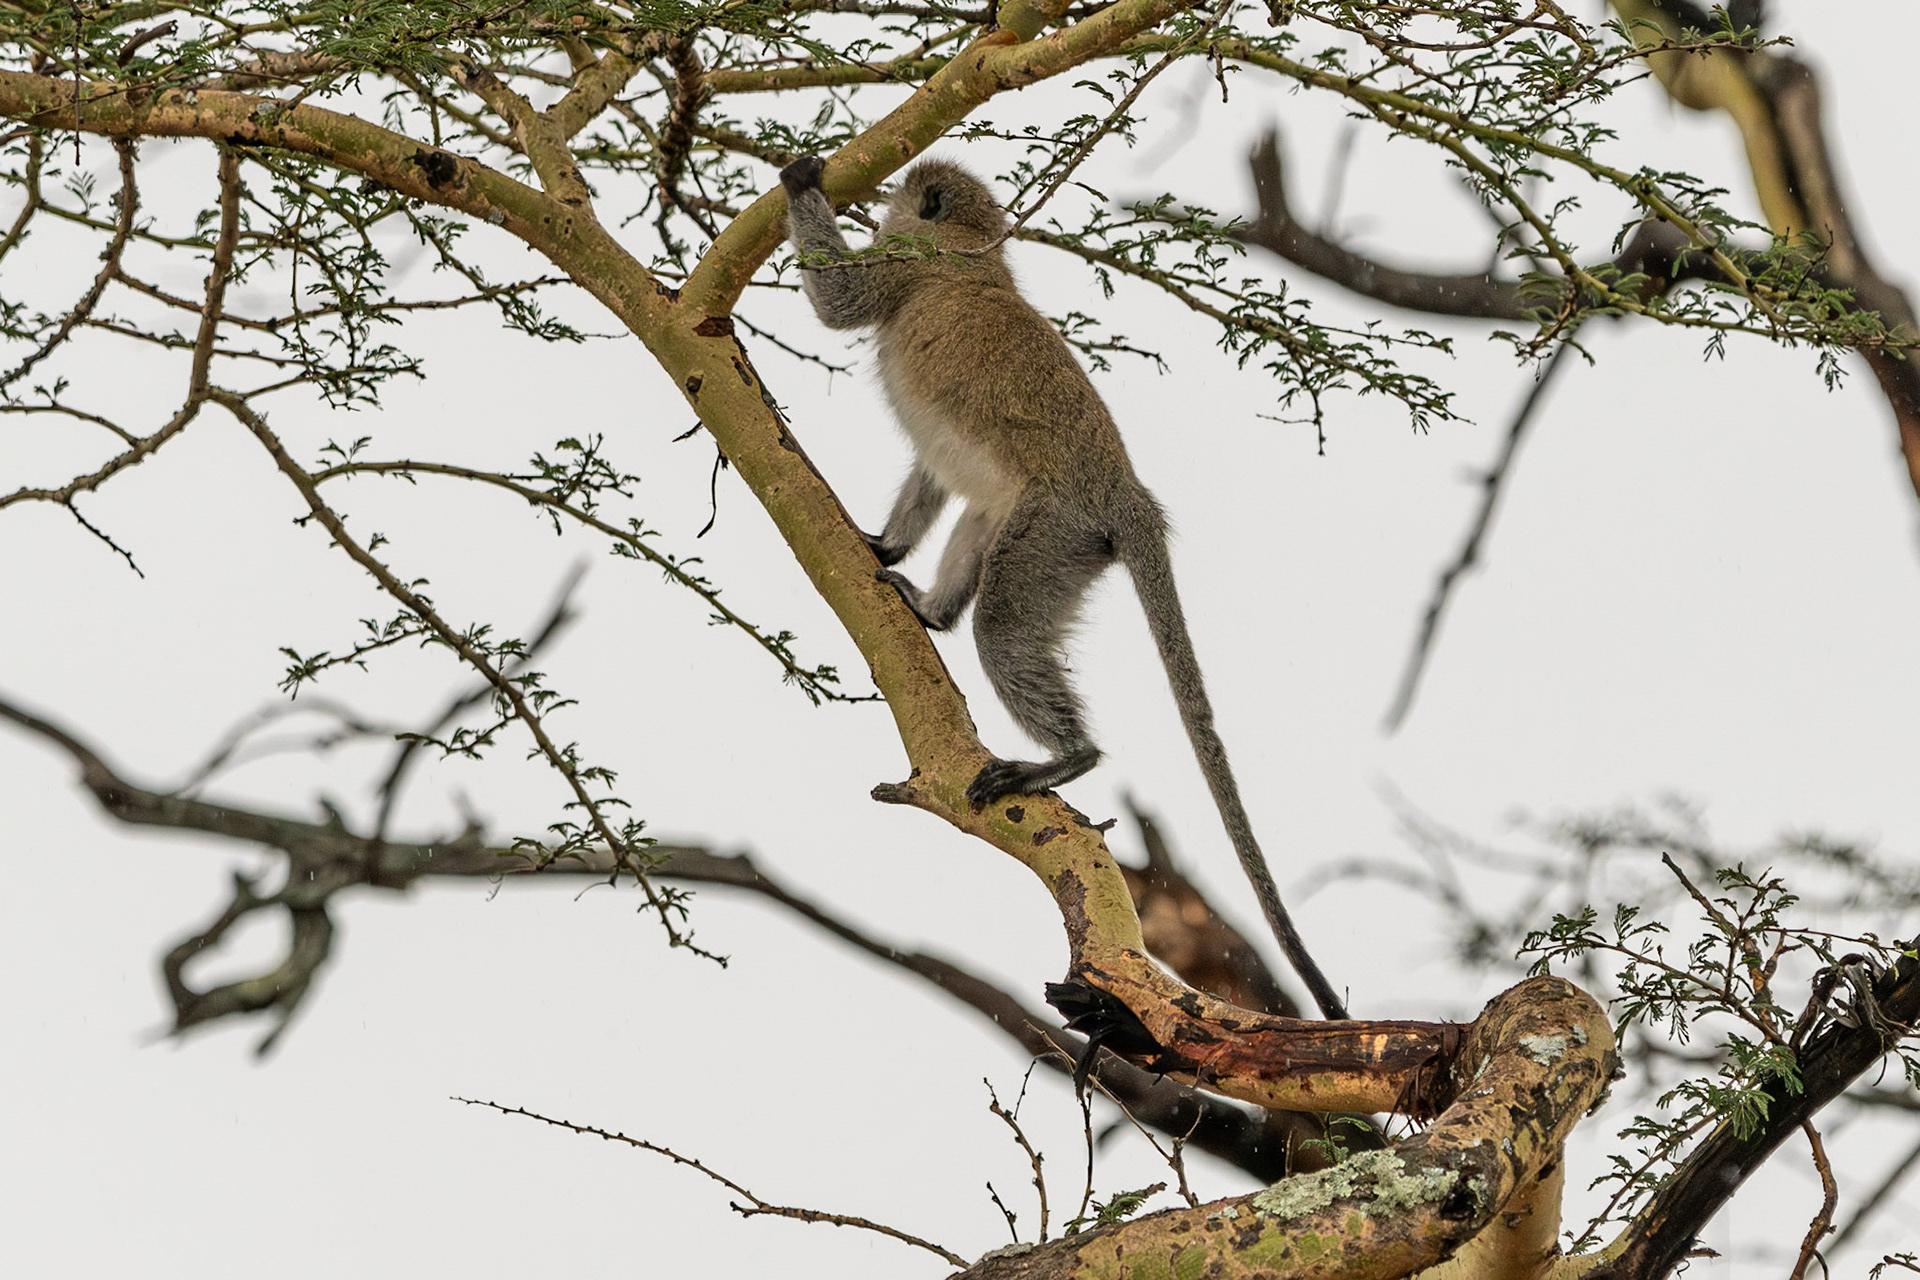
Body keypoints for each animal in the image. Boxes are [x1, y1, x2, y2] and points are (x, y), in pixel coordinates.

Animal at [779, 154, 1348, 1022]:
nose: (874, 198)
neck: (972, 251)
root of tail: (1125, 492)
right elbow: (932, 474)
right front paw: (886, 542)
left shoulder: (905, 267)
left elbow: (841, 304)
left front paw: (798, 178)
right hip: (1055, 534)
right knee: (982, 518)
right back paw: (935, 611)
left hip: (1057, 531)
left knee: (1003, 627)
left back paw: (1068, 758)